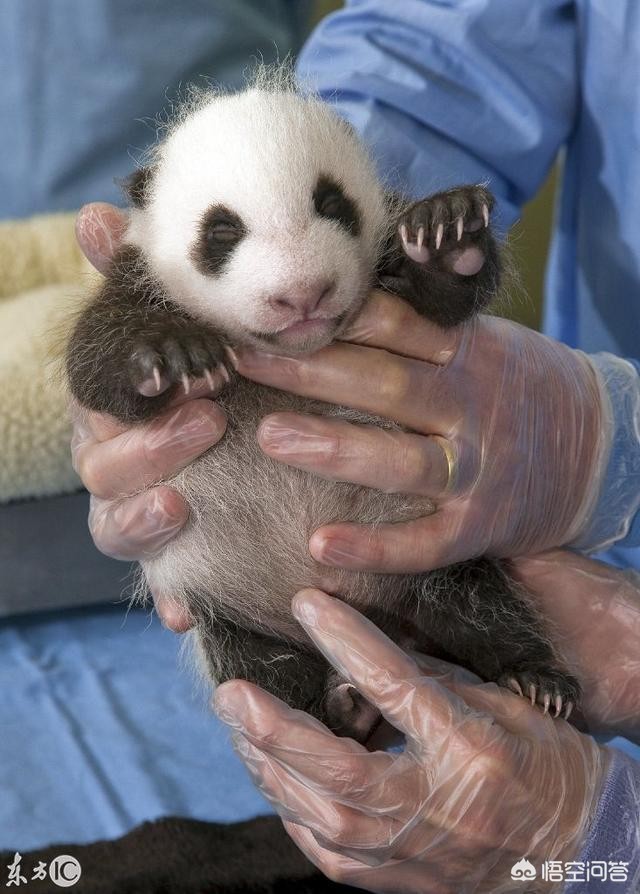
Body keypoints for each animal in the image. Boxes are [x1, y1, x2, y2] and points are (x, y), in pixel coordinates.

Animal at [67, 72, 584, 744]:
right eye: (221, 232)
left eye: (332, 202)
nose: (302, 295)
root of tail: (373, 616)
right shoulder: (136, 276)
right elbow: (93, 361)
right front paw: (173, 353)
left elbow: (442, 298)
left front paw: (448, 233)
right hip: (227, 600)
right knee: (259, 666)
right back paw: (333, 712)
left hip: (420, 552)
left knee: (478, 604)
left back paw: (535, 679)